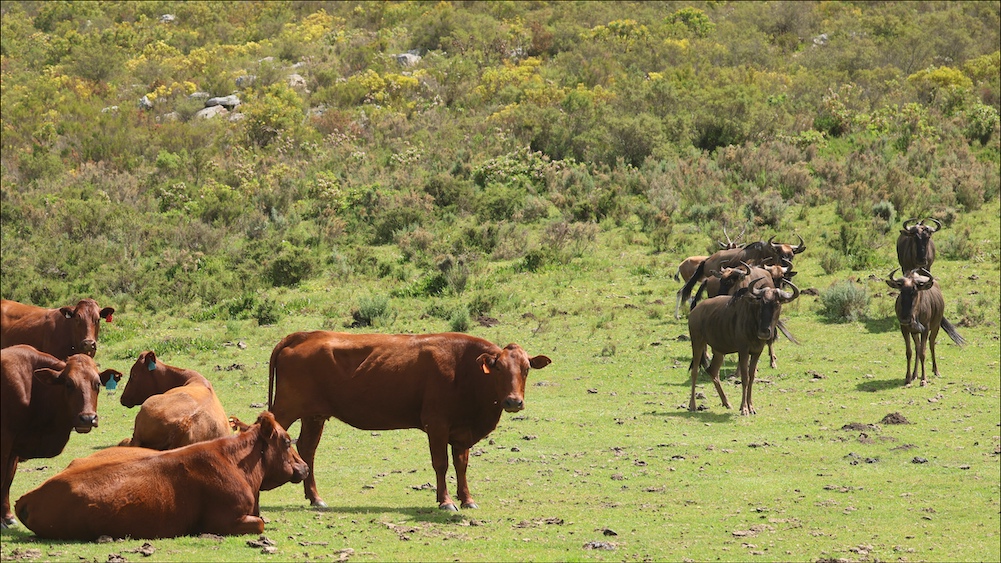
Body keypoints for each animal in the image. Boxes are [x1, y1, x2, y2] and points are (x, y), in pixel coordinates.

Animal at [1, 345, 121, 528]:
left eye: (98, 383)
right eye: (68, 384)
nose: (88, 418)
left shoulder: (14, 447)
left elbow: (7, 479)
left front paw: (7, 516)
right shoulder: (6, 440)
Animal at [13, 411, 309, 540]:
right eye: (287, 441)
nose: (305, 466)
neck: (237, 464)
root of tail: (32, 495)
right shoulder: (225, 520)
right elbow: (259, 523)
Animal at [268, 331, 552, 511]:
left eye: (526, 369)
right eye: (499, 368)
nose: (513, 402)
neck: (464, 370)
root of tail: (306, 334)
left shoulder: (462, 431)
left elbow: (461, 465)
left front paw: (467, 499)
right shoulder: (436, 424)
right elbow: (441, 464)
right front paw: (446, 502)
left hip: (314, 415)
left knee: (307, 449)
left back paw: (315, 498)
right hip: (286, 409)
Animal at [687, 278, 800, 415]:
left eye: (777, 304)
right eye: (761, 303)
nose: (764, 332)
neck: (754, 323)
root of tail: (694, 311)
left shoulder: (757, 352)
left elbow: (751, 377)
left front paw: (751, 407)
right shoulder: (743, 351)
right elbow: (745, 378)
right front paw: (744, 408)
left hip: (719, 351)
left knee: (713, 371)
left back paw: (726, 403)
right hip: (697, 343)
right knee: (695, 371)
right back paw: (692, 405)